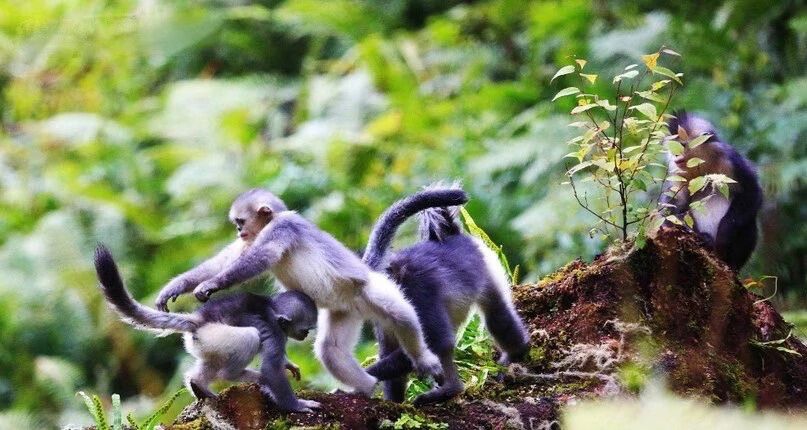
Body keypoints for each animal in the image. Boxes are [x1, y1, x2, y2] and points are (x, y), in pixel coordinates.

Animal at [93, 244, 320, 412]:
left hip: (206, 342)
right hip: (217, 335)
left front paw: (289, 364)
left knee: (210, 362)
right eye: (304, 330)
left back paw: (198, 383)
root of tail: (198, 319)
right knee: (250, 338)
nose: (305, 335)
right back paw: (237, 376)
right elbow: (272, 368)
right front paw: (296, 405)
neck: (272, 309)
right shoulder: (274, 331)